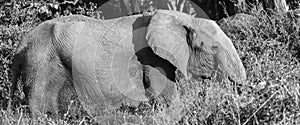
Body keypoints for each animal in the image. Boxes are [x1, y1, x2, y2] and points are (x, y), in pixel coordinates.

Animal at [9, 9, 246, 118]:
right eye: (214, 48)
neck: (180, 17)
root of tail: (20, 46)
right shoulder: (150, 58)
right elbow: (164, 93)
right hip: (40, 61)